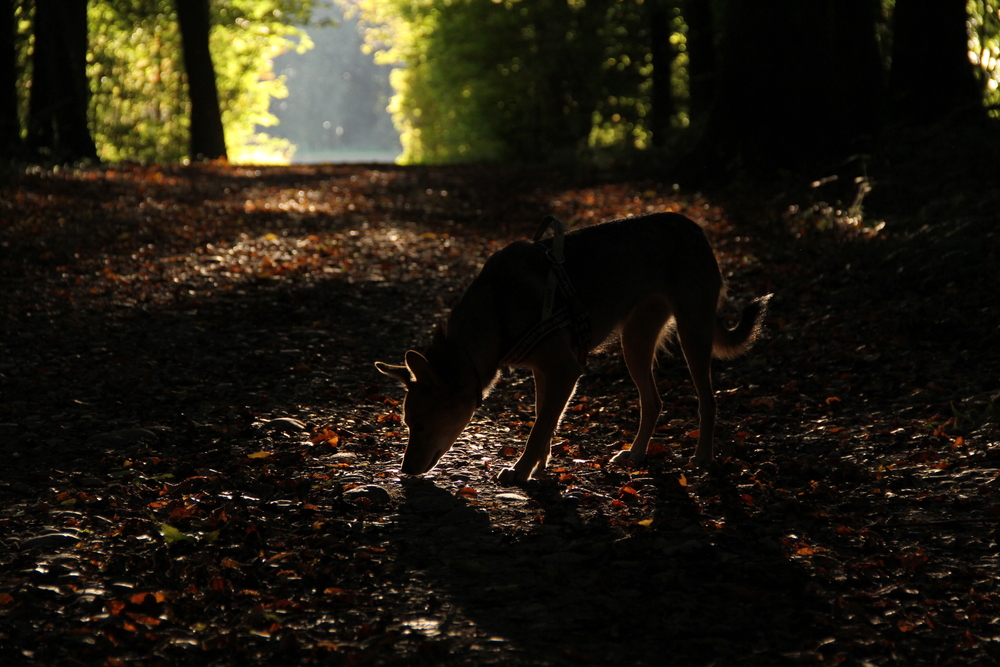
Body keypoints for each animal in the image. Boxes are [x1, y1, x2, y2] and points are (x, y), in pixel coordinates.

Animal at [376, 211, 772, 482]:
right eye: (407, 424)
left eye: (421, 425)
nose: (404, 471)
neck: (498, 309)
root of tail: (695, 228)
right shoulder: (545, 371)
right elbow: (546, 422)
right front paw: (539, 467)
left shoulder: (565, 370)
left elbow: (539, 428)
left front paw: (520, 472)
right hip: (635, 341)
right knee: (653, 402)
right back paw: (635, 455)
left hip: (693, 332)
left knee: (708, 401)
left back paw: (702, 456)